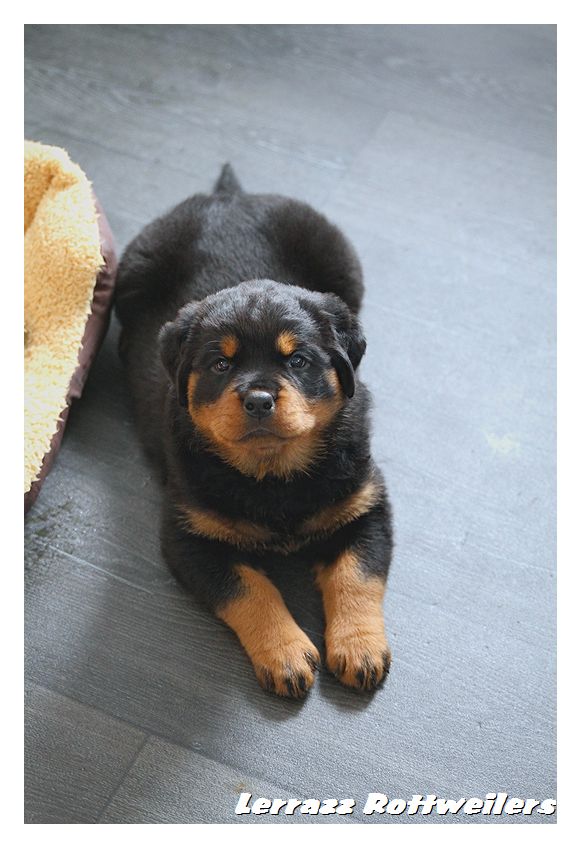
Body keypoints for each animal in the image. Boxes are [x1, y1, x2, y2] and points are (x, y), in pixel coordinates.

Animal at [115, 165, 393, 698]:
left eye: (298, 360)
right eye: (221, 364)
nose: (259, 399)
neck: (273, 473)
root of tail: (231, 197)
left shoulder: (365, 505)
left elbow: (356, 576)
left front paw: (359, 649)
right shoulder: (190, 536)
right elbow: (250, 591)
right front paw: (286, 655)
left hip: (342, 259)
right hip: (130, 270)